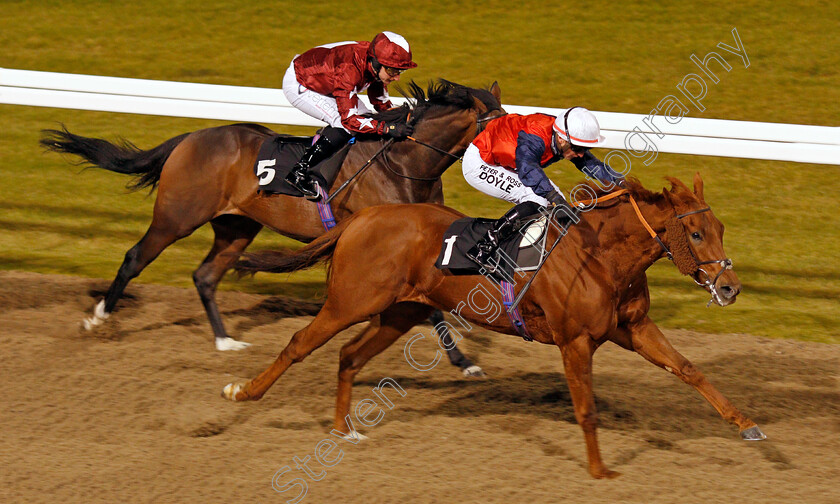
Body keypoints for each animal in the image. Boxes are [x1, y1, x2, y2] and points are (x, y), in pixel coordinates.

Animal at [39, 80, 502, 368]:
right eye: (500, 126)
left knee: (205, 276)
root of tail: (189, 138)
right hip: (176, 217)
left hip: (236, 226)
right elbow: (431, 308)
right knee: (135, 257)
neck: (405, 164)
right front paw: (463, 362)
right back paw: (98, 318)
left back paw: (226, 340)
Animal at [226, 175, 764, 478]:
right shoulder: (575, 341)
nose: (730, 287)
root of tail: (363, 216)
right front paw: (599, 470)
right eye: (695, 232)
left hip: (401, 312)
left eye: (720, 229)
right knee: (300, 343)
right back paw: (242, 392)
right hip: (350, 301)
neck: (602, 255)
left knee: (349, 356)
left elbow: (689, 369)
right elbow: (586, 409)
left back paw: (343, 429)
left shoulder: (632, 327)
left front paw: (747, 425)